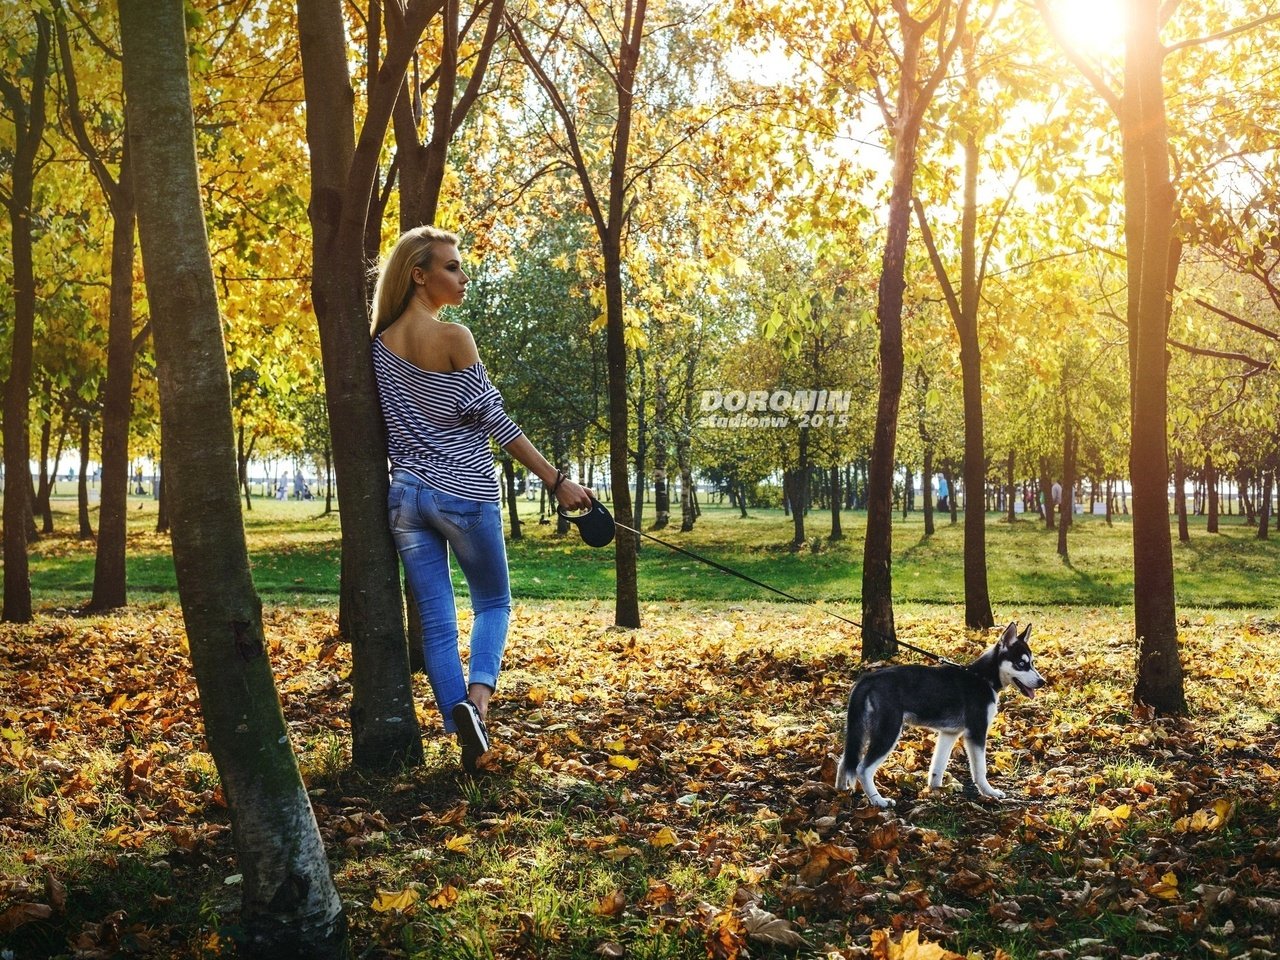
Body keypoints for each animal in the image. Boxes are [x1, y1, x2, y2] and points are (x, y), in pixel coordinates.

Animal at [834, 619, 1044, 808]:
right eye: (1021, 664)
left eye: (1032, 663)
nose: (1042, 682)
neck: (983, 678)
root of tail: (867, 678)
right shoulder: (976, 732)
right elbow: (980, 770)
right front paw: (989, 792)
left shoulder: (949, 733)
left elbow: (938, 766)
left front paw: (936, 792)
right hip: (888, 732)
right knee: (862, 769)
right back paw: (878, 800)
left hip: (860, 730)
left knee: (845, 761)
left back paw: (841, 791)